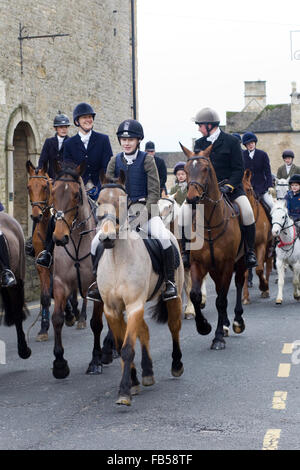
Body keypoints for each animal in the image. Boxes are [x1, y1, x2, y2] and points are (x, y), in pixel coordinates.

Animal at [25, 160, 87, 340]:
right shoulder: (42, 265)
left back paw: (81, 317)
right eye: (28, 187)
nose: (36, 215)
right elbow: (47, 296)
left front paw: (71, 314)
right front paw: (44, 328)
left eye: (46, 187)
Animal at [51, 160, 113, 380]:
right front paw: (59, 363)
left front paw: (95, 360)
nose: (59, 237)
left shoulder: (97, 288)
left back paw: (109, 349)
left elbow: (96, 323)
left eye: (76, 195)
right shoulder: (60, 284)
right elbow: (57, 319)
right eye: (52, 191)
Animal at [96, 171, 185, 406]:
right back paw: (147, 372)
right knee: (144, 330)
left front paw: (124, 392)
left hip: (174, 296)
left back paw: (176, 365)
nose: (106, 237)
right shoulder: (112, 309)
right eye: (98, 201)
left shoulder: (134, 305)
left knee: (174, 327)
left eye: (122, 201)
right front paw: (134, 381)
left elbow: (127, 348)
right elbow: (121, 345)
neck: (117, 260)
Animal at [180, 143, 246, 348]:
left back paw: (237, 322)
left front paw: (217, 337)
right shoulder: (198, 264)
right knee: (218, 290)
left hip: (239, 262)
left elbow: (222, 300)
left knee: (238, 284)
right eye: (186, 170)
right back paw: (224, 324)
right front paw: (203, 326)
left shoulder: (227, 264)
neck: (209, 223)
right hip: (214, 269)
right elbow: (195, 294)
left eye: (206, 169)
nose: (192, 198)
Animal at [240, 169, 274, 304]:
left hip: (269, 248)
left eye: (249, 189)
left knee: (268, 267)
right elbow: (244, 274)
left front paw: (263, 287)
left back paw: (267, 290)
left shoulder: (261, 245)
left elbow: (259, 269)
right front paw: (245, 297)